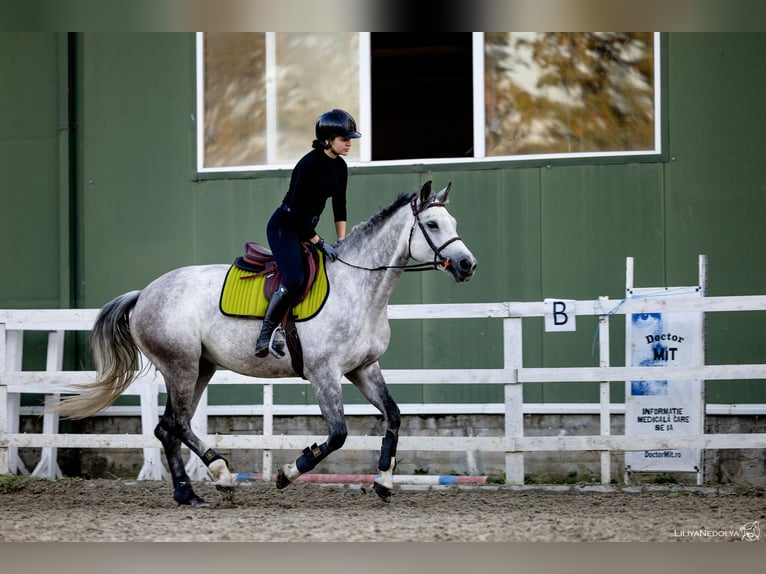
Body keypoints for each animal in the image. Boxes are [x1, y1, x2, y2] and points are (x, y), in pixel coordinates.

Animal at [57, 181, 480, 508]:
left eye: (454, 223)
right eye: (432, 224)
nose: (467, 265)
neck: (359, 288)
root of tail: (144, 293)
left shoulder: (363, 369)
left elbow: (393, 415)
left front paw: (383, 481)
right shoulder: (323, 373)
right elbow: (338, 434)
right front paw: (288, 472)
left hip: (199, 368)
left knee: (169, 428)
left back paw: (190, 492)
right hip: (181, 366)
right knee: (175, 425)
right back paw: (220, 475)